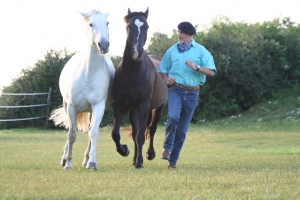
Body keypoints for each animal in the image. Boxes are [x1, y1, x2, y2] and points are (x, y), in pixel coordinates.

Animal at [49, 8, 115, 170]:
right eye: (91, 24)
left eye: (107, 23)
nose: (104, 45)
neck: (88, 74)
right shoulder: (72, 107)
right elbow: (71, 135)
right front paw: (68, 163)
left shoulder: (98, 107)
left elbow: (93, 133)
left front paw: (92, 162)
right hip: (66, 106)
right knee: (70, 131)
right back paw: (64, 159)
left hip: (92, 111)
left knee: (91, 131)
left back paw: (86, 161)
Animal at [110, 7, 168, 168]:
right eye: (129, 26)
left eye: (146, 26)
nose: (136, 52)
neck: (132, 75)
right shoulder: (120, 106)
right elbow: (116, 134)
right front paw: (125, 151)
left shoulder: (143, 107)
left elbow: (141, 135)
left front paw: (140, 162)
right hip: (133, 111)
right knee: (136, 132)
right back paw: (134, 158)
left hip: (158, 108)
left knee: (151, 129)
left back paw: (149, 154)